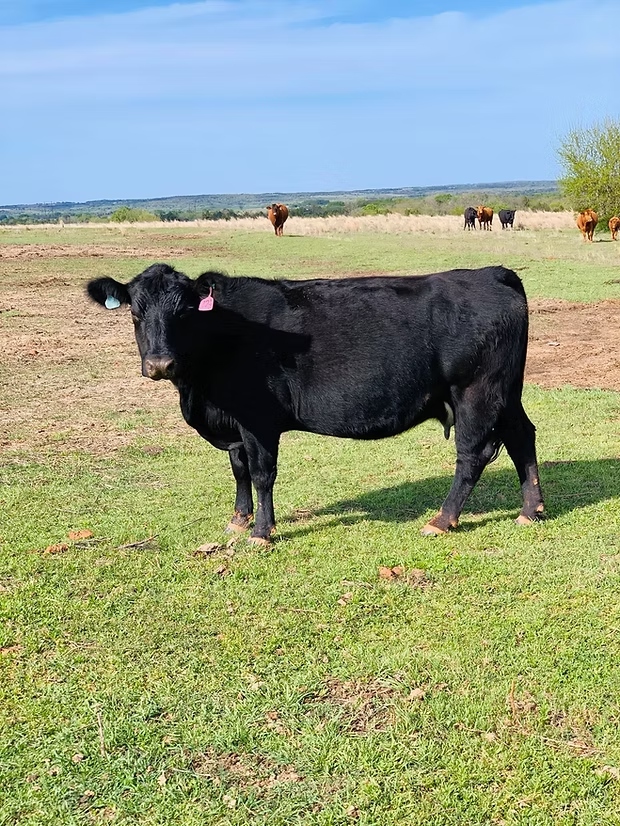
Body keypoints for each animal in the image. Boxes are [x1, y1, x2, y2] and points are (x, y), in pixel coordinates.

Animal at [87, 263, 545, 544]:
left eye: (184, 312)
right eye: (135, 314)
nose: (159, 364)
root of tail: (493, 274)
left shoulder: (257, 420)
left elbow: (261, 474)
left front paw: (261, 532)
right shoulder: (234, 425)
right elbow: (239, 470)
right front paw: (238, 520)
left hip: (475, 392)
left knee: (472, 454)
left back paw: (442, 520)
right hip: (506, 393)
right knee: (523, 438)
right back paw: (531, 509)